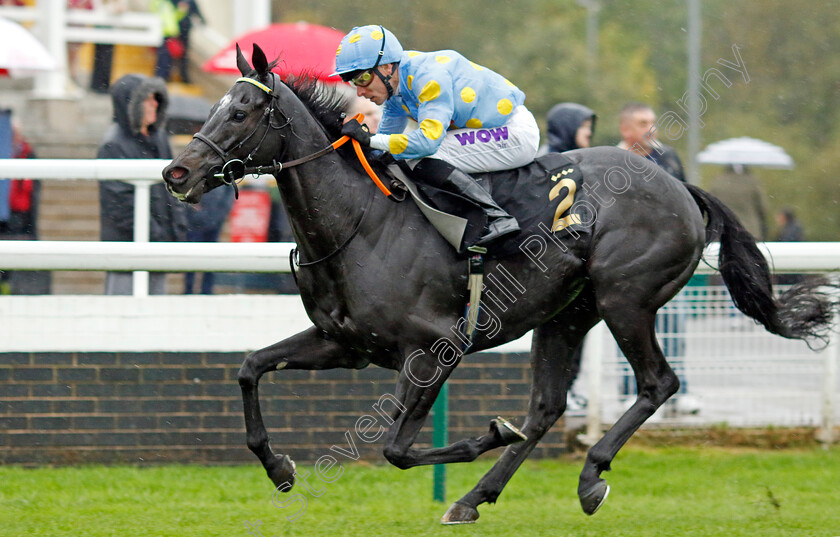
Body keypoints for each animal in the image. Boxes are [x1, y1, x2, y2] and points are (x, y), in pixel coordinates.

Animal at [161, 44, 832, 520]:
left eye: (241, 111)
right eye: (213, 108)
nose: (176, 172)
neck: (360, 222)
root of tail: (680, 186)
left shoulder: (435, 347)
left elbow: (397, 449)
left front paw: (486, 432)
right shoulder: (344, 344)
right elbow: (250, 367)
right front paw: (279, 468)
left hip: (627, 300)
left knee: (656, 383)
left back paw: (590, 477)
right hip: (567, 314)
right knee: (547, 407)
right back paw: (473, 498)